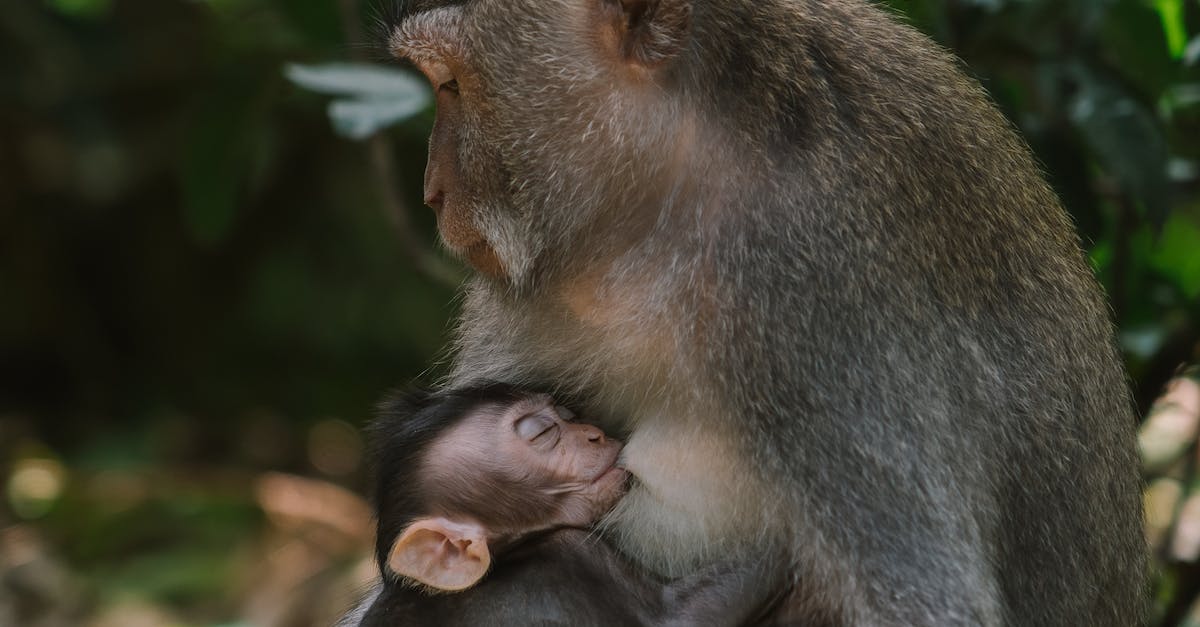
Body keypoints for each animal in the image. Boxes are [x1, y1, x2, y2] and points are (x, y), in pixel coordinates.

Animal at [342, 383, 785, 626]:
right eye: (541, 432)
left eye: (567, 412)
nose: (593, 433)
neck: (505, 558)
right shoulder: (572, 553)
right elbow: (686, 615)